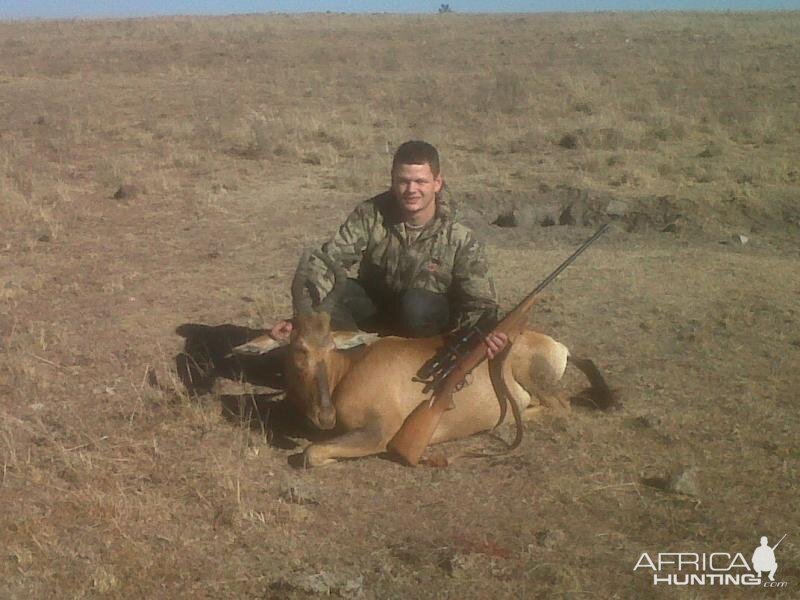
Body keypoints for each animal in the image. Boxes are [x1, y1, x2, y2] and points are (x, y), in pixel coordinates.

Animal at [233, 251, 612, 466]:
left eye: (330, 347)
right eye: (300, 348)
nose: (325, 416)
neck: (351, 368)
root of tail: (558, 345)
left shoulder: (380, 431)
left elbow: (312, 453)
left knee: (561, 406)